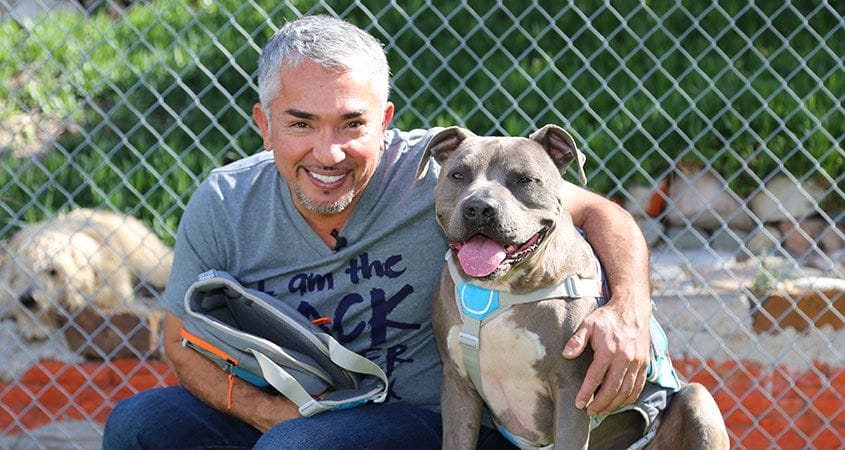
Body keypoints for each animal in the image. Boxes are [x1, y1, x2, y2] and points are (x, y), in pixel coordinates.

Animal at [414, 125, 724, 450]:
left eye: (525, 179)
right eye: (458, 175)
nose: (478, 207)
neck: (498, 289)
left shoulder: (572, 389)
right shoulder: (457, 384)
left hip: (698, 400)